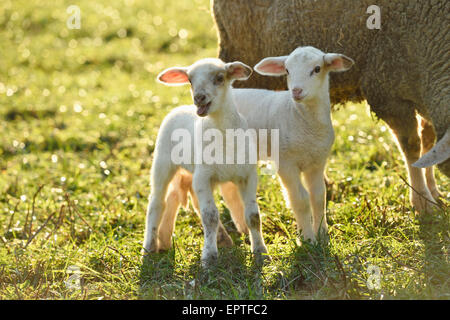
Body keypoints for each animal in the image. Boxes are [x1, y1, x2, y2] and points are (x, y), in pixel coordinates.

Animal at [142, 57, 268, 264]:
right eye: (190, 80)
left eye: (220, 78)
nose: (199, 97)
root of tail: (179, 108)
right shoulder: (204, 176)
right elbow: (210, 217)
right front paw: (209, 258)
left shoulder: (247, 175)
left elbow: (253, 216)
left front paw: (261, 252)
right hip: (163, 161)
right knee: (157, 201)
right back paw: (149, 248)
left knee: (177, 198)